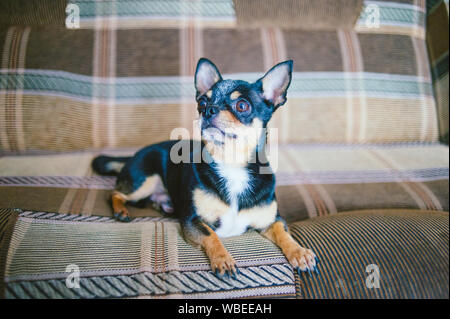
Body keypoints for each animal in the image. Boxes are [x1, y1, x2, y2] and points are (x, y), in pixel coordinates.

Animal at [91, 58, 318, 278]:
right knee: (115, 193)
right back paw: (121, 210)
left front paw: (300, 253)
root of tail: (134, 154)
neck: (231, 164)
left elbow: (283, 232)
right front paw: (223, 259)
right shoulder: (192, 221)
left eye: (242, 106)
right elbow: (212, 235)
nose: (209, 109)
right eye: (202, 102)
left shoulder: (272, 220)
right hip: (145, 181)